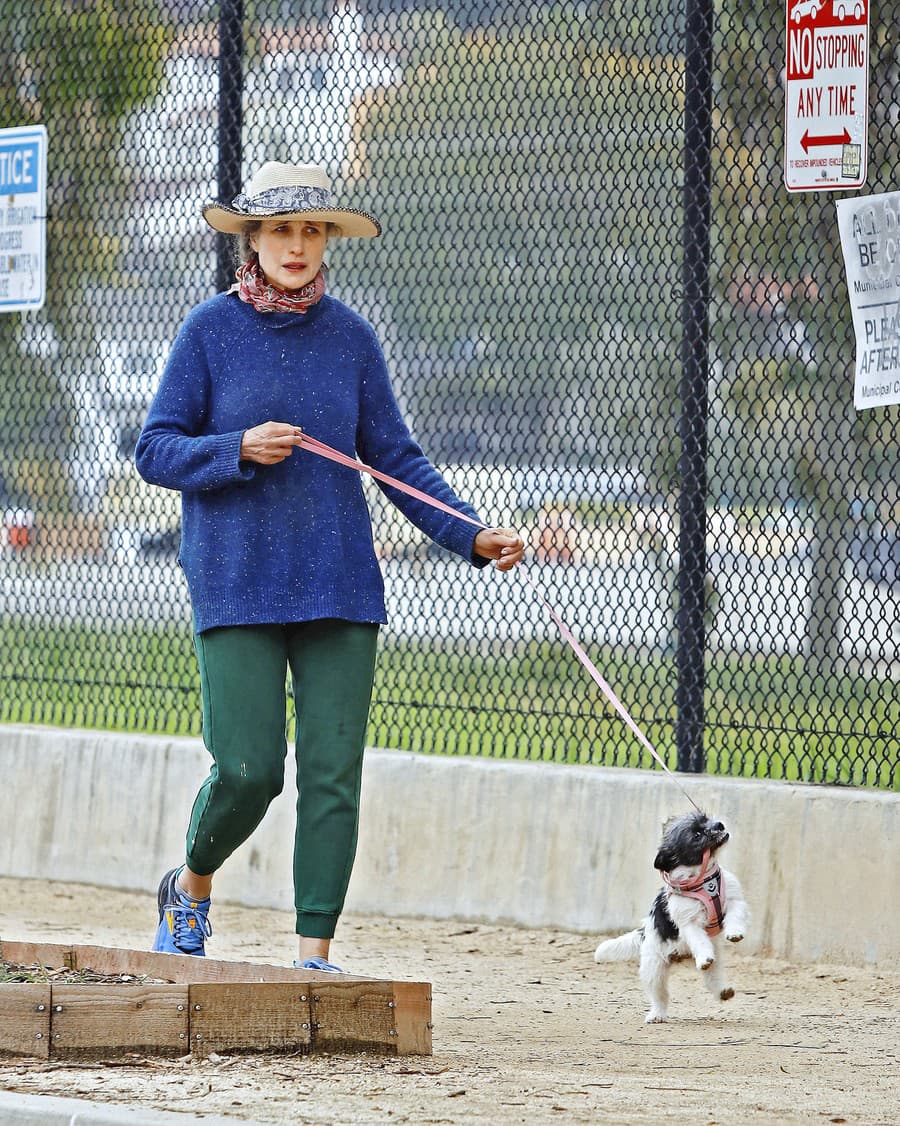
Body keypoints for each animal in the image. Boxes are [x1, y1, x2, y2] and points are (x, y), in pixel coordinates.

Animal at [594, 810, 747, 1022]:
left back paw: (722, 990)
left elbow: (734, 917)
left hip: (712, 963)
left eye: (706, 819)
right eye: (697, 835)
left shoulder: (734, 901)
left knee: (712, 978)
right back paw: (657, 1014)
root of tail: (644, 931)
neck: (703, 879)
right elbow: (699, 940)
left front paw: (734, 933)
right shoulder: (689, 923)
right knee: (660, 995)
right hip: (654, 969)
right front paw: (706, 954)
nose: (719, 825)